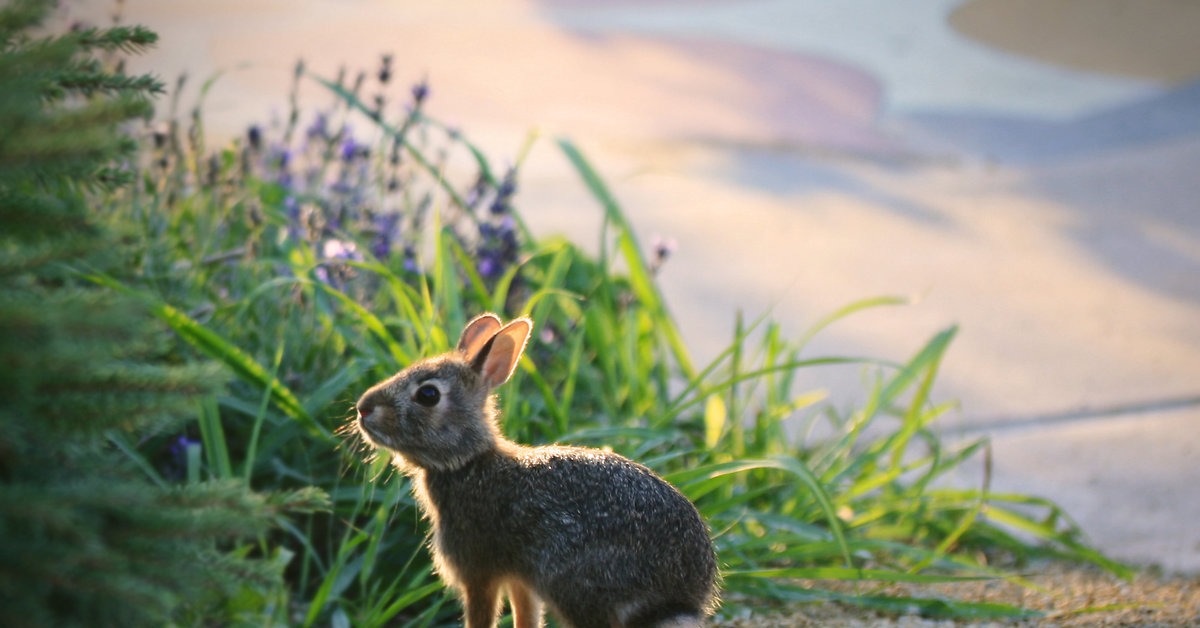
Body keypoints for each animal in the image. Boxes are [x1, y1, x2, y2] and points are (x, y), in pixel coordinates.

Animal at [350, 314, 715, 628]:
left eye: (428, 394)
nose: (363, 408)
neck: (468, 462)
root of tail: (683, 590)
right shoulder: (519, 579)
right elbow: (526, 616)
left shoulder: (478, 572)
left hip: (577, 586)